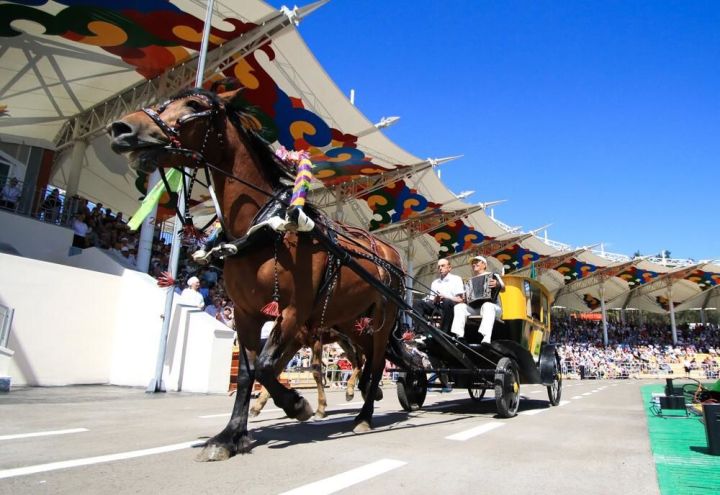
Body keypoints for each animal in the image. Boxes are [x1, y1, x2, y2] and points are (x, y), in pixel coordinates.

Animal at [110, 87, 408, 464]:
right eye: (164, 103)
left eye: (194, 105)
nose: (122, 128)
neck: (264, 228)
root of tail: (391, 252)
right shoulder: (245, 312)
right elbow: (249, 371)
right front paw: (230, 435)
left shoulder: (293, 312)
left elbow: (267, 365)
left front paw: (297, 404)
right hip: (349, 321)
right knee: (367, 360)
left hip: (383, 319)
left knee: (378, 360)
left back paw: (365, 415)